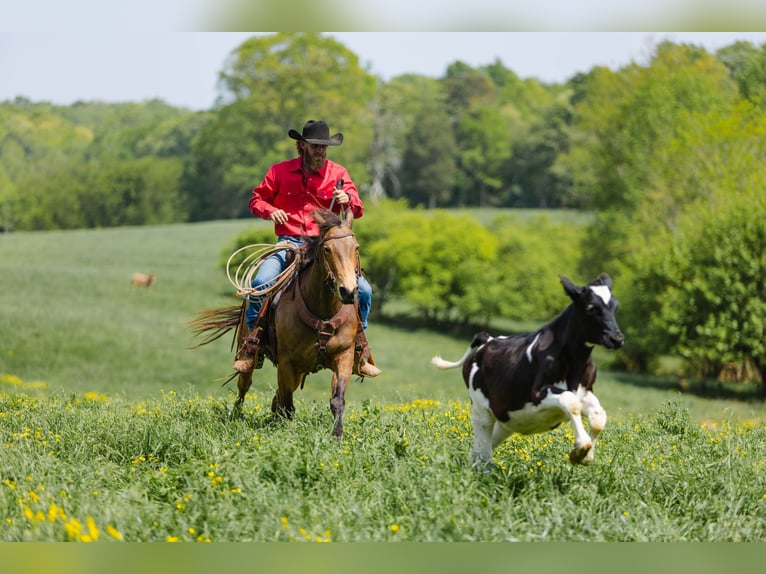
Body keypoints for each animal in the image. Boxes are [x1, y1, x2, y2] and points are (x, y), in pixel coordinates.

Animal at [190, 209, 361, 438]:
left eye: (356, 248)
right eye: (327, 249)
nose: (348, 291)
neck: (323, 311)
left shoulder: (344, 356)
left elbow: (337, 400)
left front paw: (337, 436)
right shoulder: (287, 362)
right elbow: (287, 405)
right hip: (250, 351)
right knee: (245, 385)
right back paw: (236, 416)